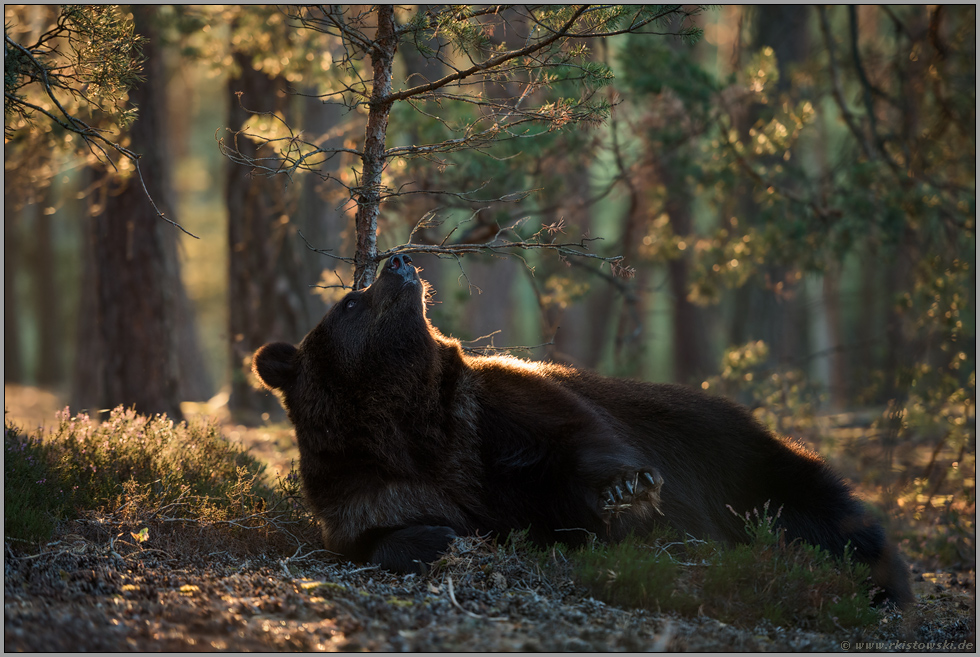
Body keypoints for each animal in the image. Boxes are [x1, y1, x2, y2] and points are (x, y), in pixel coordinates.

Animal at [251, 251, 912, 604]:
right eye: (349, 303)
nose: (399, 258)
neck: (412, 422)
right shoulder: (369, 481)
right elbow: (368, 537)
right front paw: (433, 539)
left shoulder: (495, 410)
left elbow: (578, 443)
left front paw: (624, 489)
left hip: (738, 456)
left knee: (820, 508)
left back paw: (880, 580)